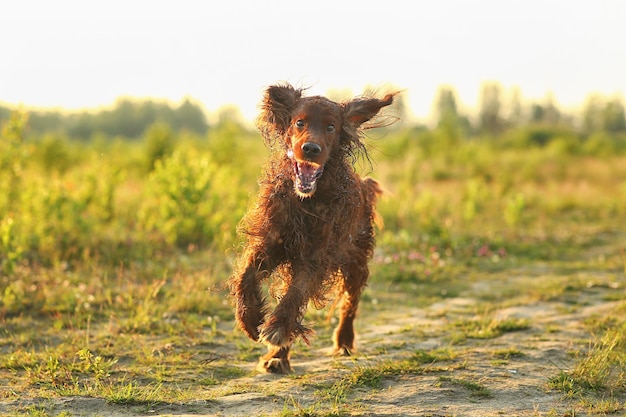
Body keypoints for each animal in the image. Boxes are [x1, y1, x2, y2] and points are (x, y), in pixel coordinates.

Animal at [229, 83, 394, 372]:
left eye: (331, 127)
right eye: (299, 122)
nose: (310, 149)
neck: (305, 200)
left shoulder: (315, 257)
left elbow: (297, 293)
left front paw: (277, 328)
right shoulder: (269, 243)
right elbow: (246, 276)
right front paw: (250, 319)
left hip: (356, 261)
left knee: (350, 303)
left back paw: (343, 340)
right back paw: (278, 356)